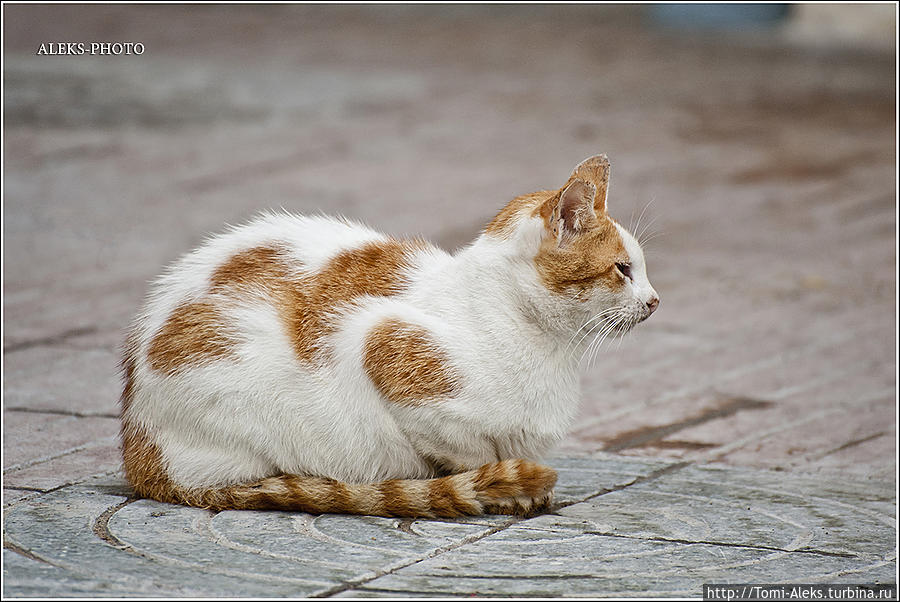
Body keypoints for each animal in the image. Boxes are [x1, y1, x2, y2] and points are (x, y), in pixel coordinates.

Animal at [119, 155, 656, 516]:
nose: (655, 301)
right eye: (623, 269)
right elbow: (470, 453)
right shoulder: (382, 342)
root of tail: (139, 455)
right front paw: (504, 490)